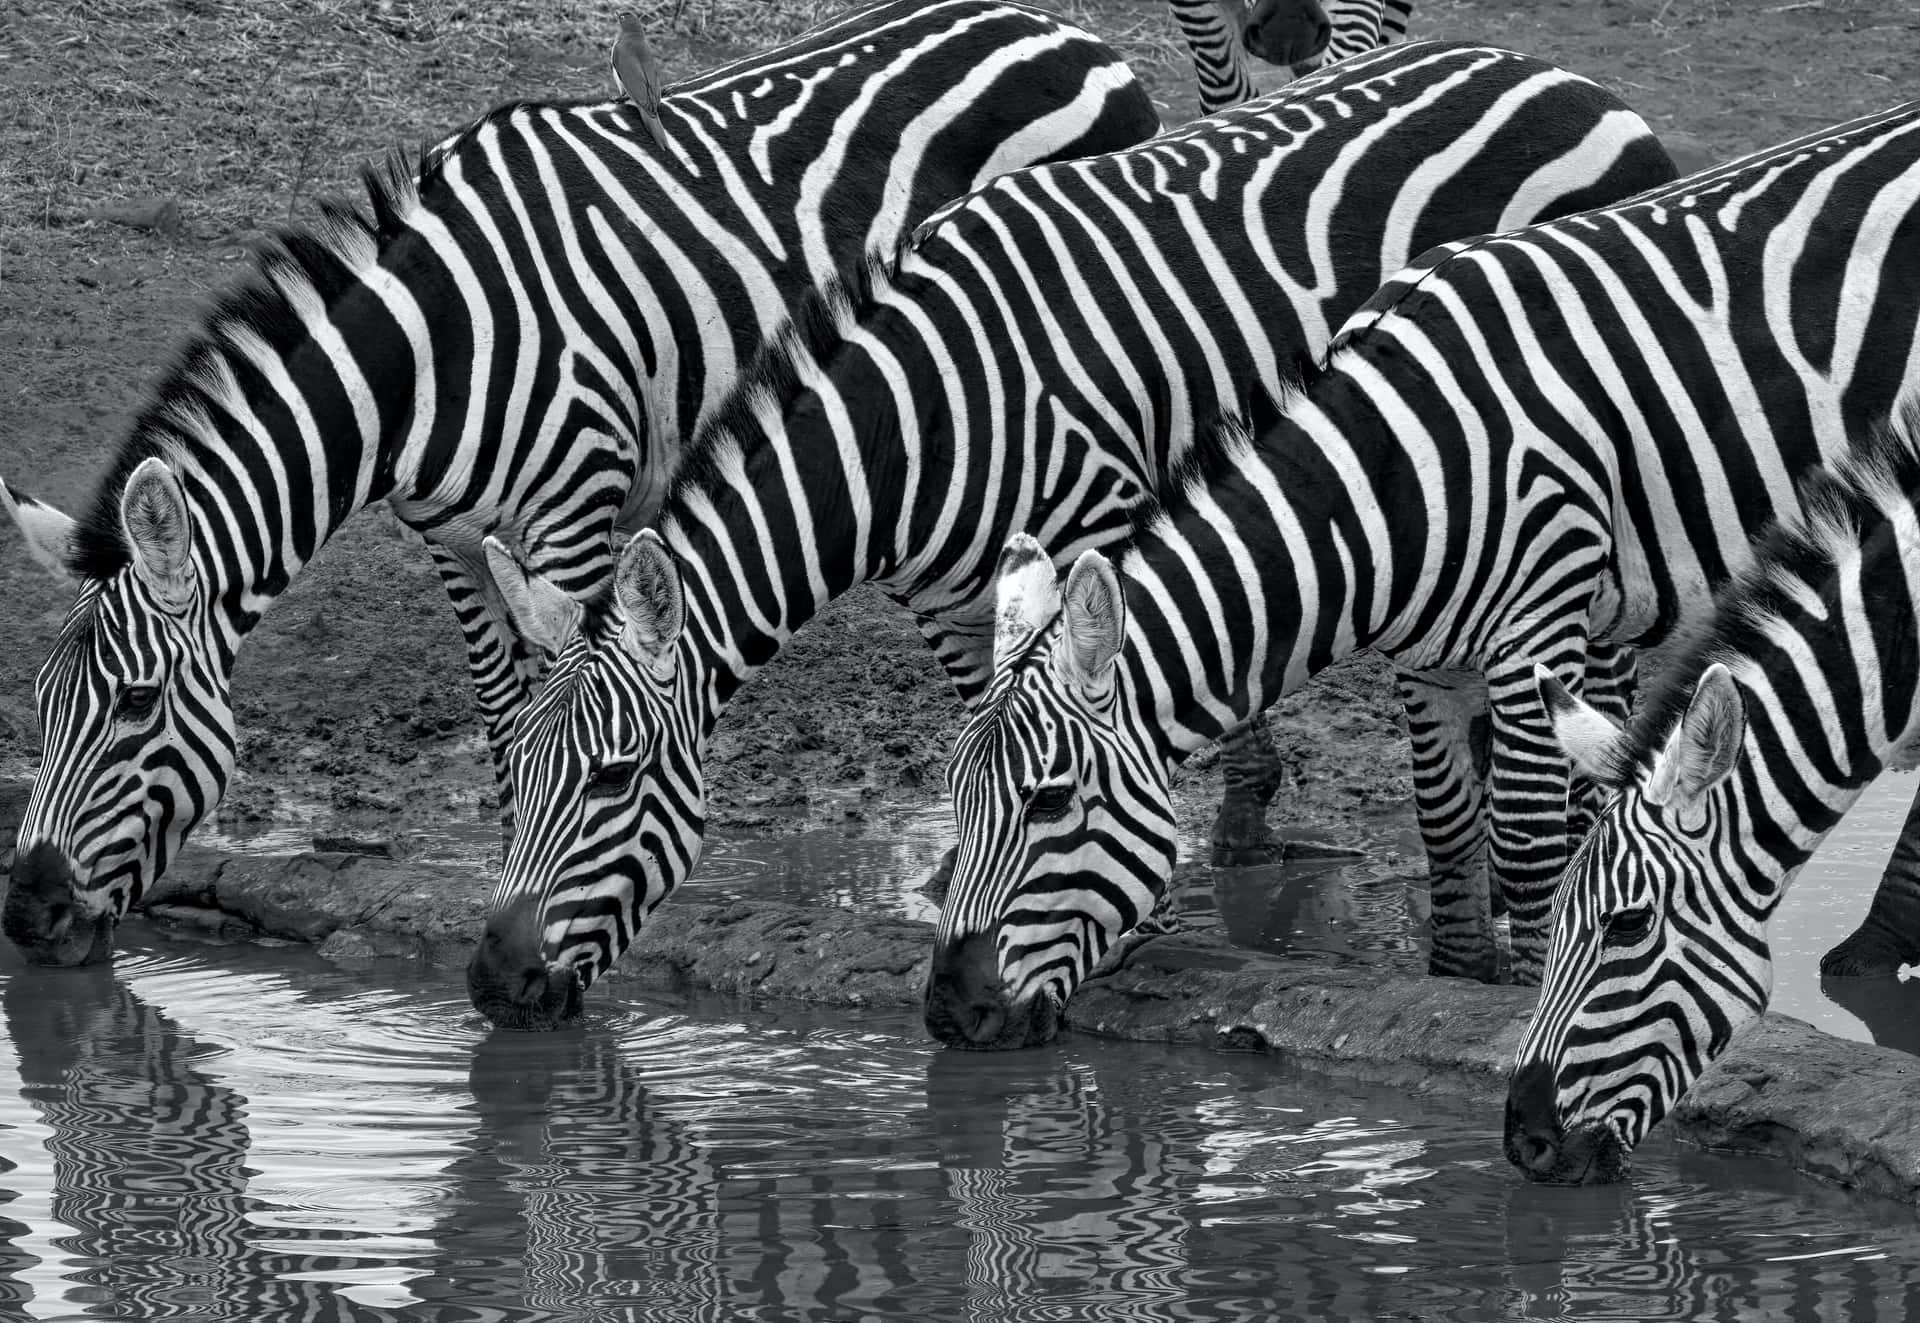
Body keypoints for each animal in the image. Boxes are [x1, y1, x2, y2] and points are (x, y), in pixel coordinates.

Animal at [0, 0, 1158, 968]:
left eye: (133, 705)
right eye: (42, 706)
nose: (30, 914)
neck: (436, 346)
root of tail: (1066, 30)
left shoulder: (572, 509)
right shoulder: (452, 537)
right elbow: (505, 711)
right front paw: (517, 861)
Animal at [469, 40, 1677, 1030]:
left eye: (612, 780)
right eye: (514, 773)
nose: (491, 983)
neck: (923, 418)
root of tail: (1575, 81)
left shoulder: (1095, 528)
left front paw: (1126, 928)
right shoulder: (953, 602)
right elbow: (999, 730)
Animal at [934, 94, 1920, 1047]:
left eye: (1048, 800)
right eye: (955, 798)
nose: (950, 1011)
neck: (1394, 477)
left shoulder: (1538, 623)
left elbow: (1522, 840)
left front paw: (1523, 993)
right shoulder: (1425, 656)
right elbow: (1447, 826)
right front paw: (1456, 983)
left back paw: (1874, 946)